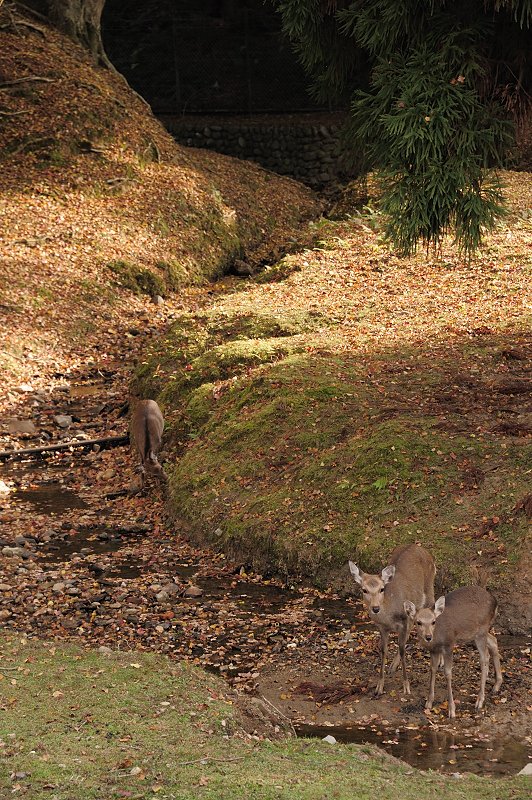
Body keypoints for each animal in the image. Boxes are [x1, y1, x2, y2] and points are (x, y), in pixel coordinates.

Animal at [352, 540, 434, 696]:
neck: (389, 616)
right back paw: (392, 666)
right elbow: (383, 650)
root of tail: (419, 547)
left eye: (382, 589)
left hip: (430, 587)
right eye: (364, 590)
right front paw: (379, 686)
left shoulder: (404, 621)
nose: (375, 608)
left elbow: (402, 649)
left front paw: (406, 686)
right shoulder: (382, 628)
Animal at [404, 580, 502, 720]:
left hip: (481, 630)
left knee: (484, 658)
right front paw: (429, 702)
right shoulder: (434, 650)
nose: (428, 637)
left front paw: (451, 710)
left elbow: (447, 673)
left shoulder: (449, 645)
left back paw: (480, 700)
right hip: (475, 633)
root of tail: (495, 601)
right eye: (418, 622)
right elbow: (433, 669)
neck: (437, 637)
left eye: (433, 621)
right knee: (493, 641)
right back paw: (497, 684)